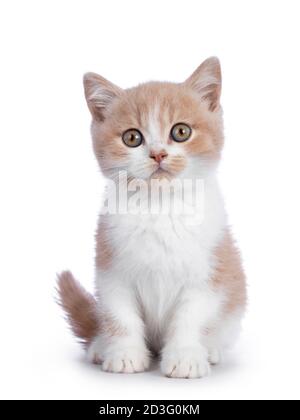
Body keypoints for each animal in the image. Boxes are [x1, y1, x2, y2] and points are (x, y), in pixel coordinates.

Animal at [58, 56, 246, 378]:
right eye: (132, 138)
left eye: (181, 132)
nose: (158, 154)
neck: (159, 207)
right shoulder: (112, 269)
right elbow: (120, 315)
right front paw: (124, 354)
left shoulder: (209, 270)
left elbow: (191, 317)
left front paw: (185, 356)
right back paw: (101, 345)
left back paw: (210, 350)